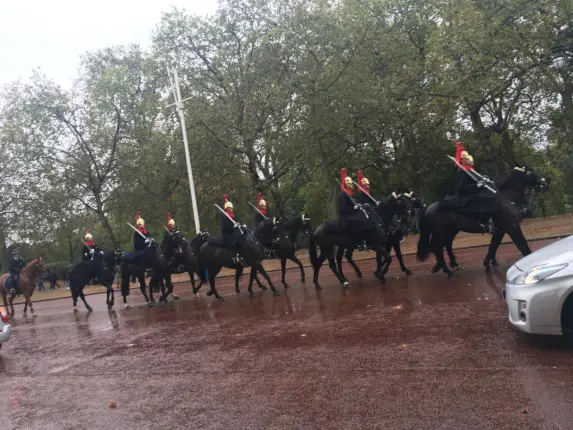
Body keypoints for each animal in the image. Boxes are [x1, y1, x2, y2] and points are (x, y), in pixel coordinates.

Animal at [416, 165, 544, 276]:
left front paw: (489, 262)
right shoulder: (510, 226)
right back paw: (447, 270)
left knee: (446, 244)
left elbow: (494, 245)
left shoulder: (502, 228)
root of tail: (429, 208)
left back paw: (451, 265)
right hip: (439, 232)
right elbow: (519, 243)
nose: (545, 182)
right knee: (437, 248)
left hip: (451, 230)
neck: (505, 198)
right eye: (530, 172)